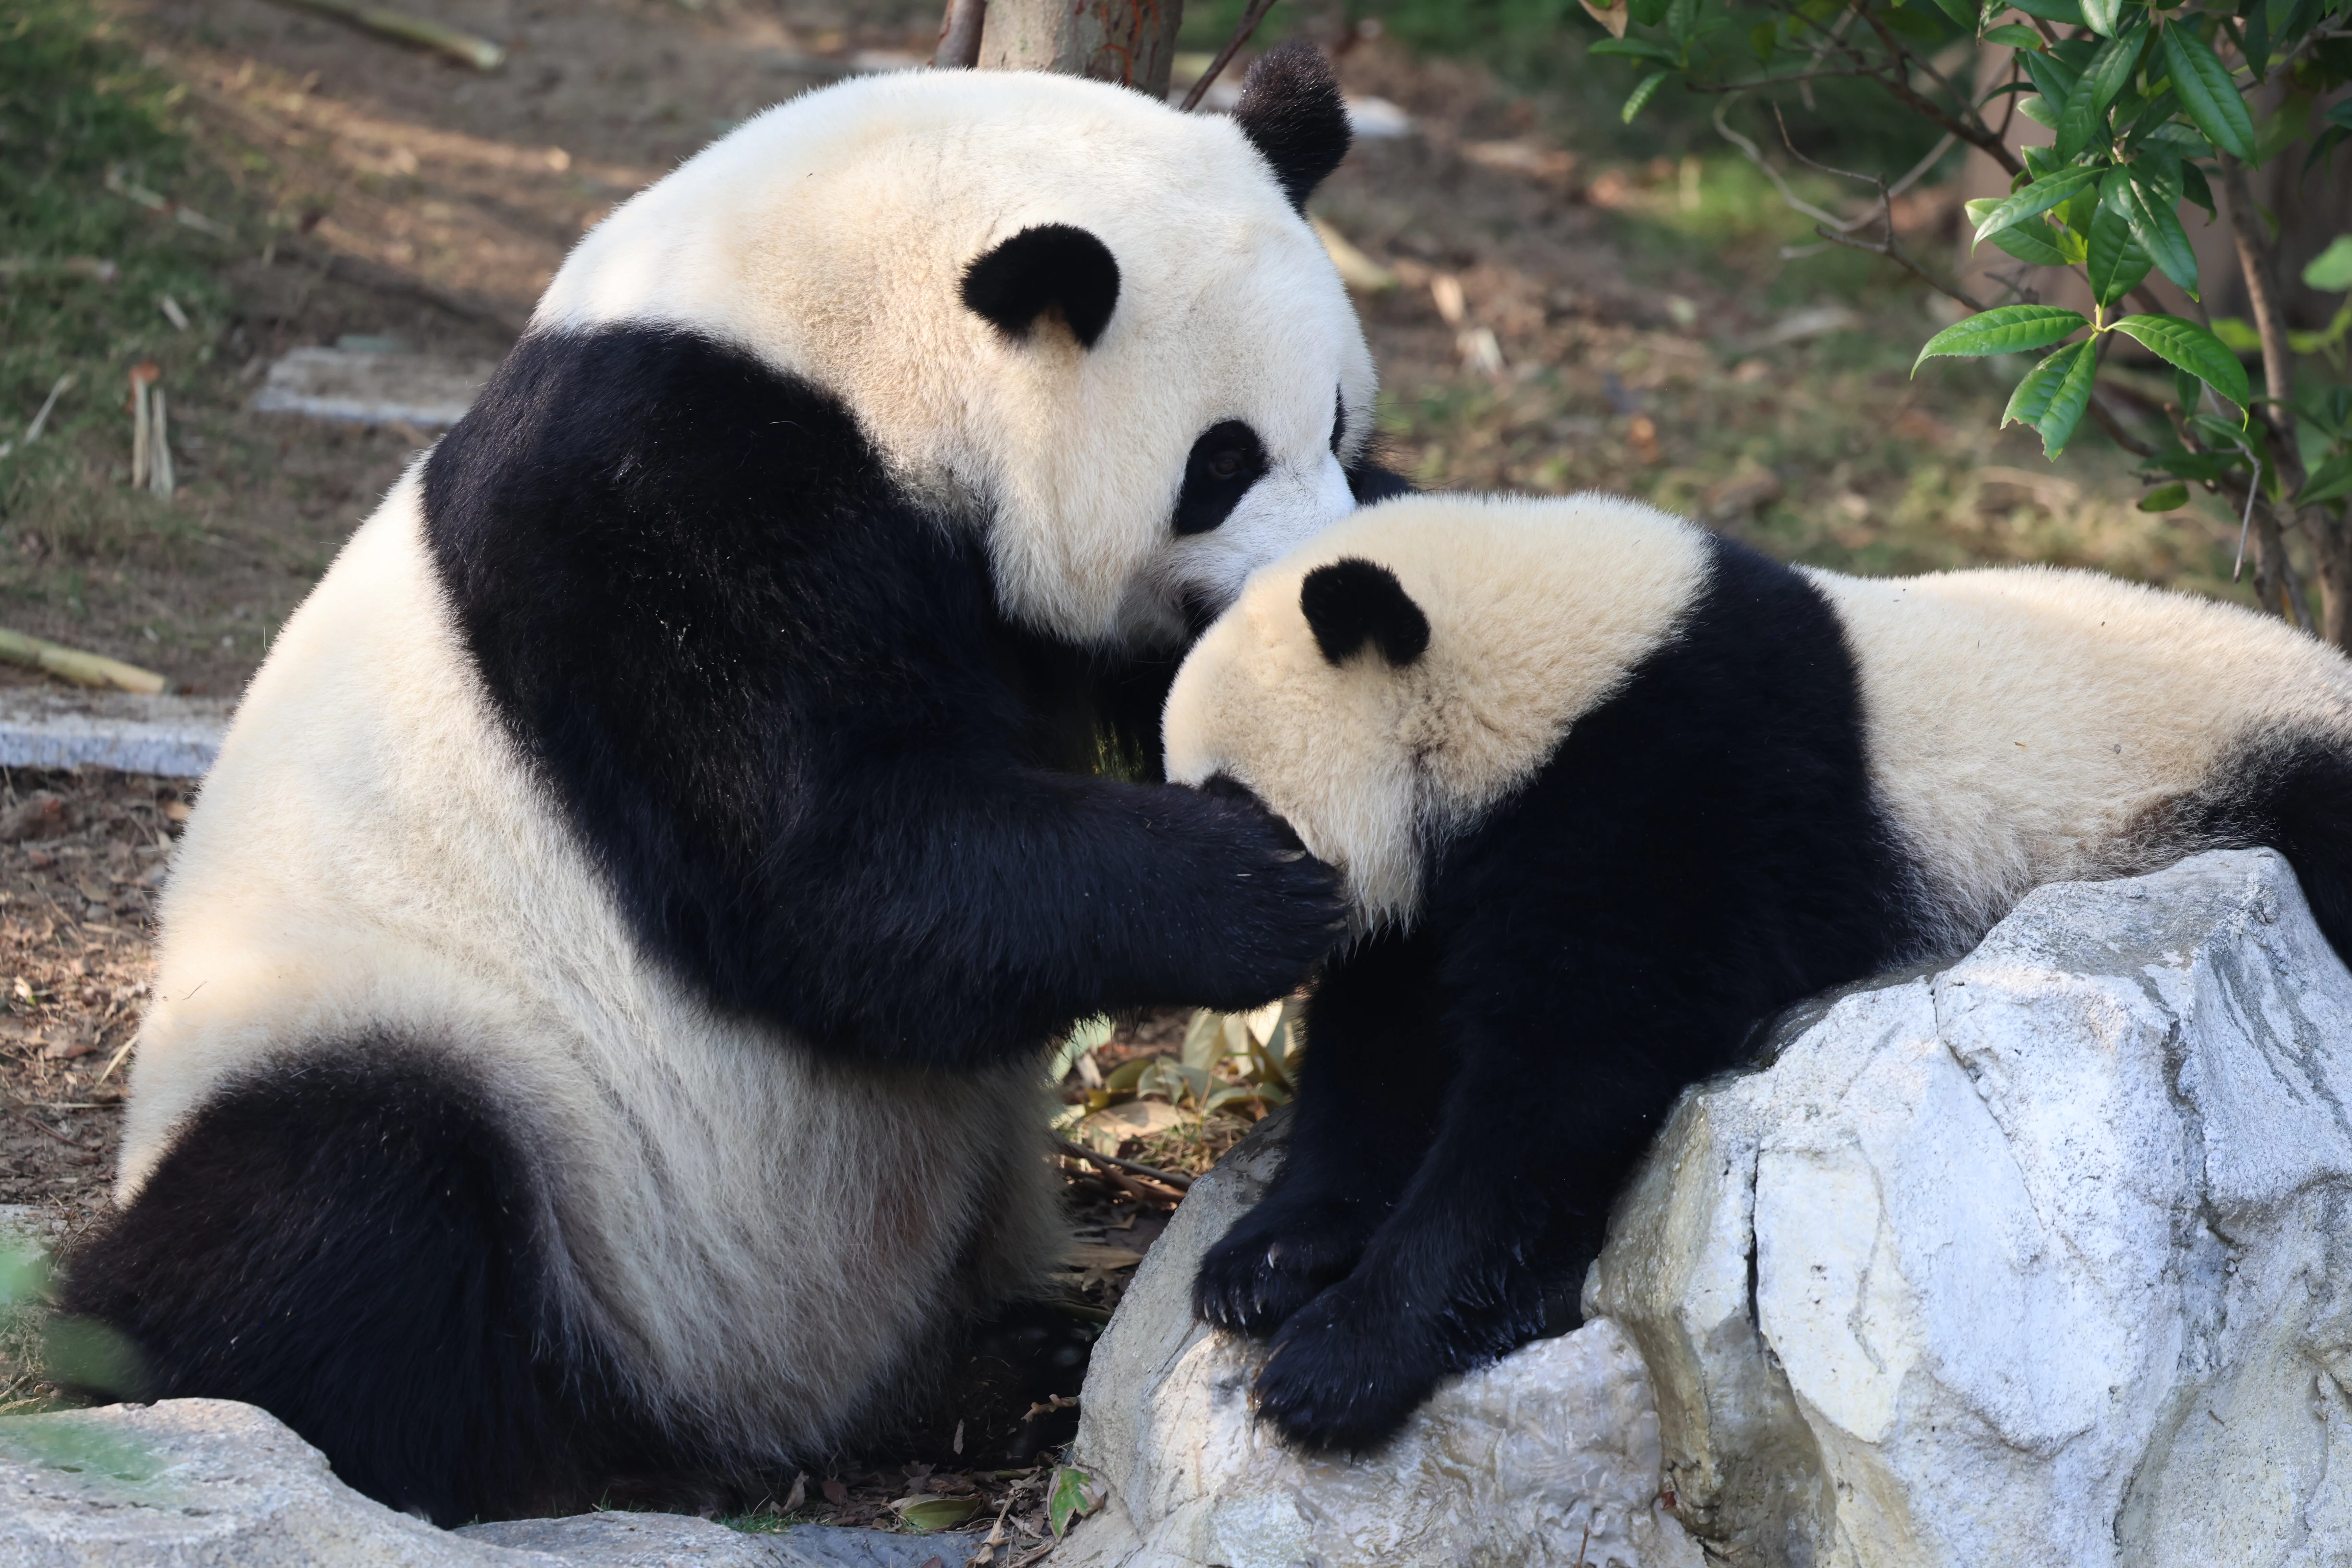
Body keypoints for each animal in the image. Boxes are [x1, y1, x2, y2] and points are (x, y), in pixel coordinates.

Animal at [59, 45, 1397, 1524]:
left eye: (1340, 420)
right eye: (1221, 460)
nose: (1306, 582)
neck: (848, 312)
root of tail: (739, 1414)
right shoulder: (665, 503)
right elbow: (824, 869)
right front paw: (1255, 884)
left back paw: (1007, 1367)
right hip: (428, 1052)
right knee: (336, 1203)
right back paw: (487, 1454)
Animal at [1161, 490, 2352, 1454]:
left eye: (1240, 803)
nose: (1233, 947)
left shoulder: (1677, 781)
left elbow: (1566, 1077)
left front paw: (1338, 1362)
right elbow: (1388, 1044)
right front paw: (1265, 1261)